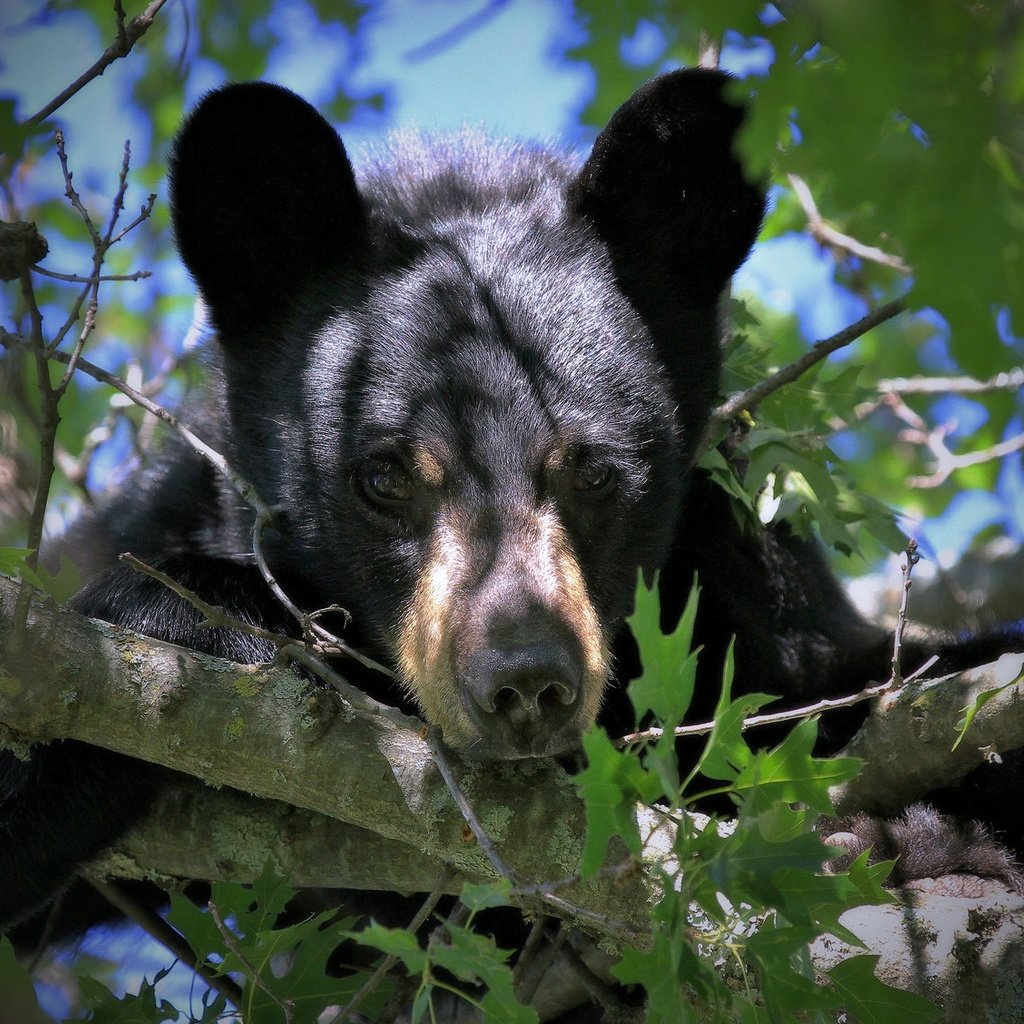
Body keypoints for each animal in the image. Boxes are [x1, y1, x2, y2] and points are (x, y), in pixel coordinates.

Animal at [2, 68, 1024, 942]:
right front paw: (194, 620)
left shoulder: (752, 595)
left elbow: (873, 679)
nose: (526, 682)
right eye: (384, 476)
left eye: (594, 471)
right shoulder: (165, 512)